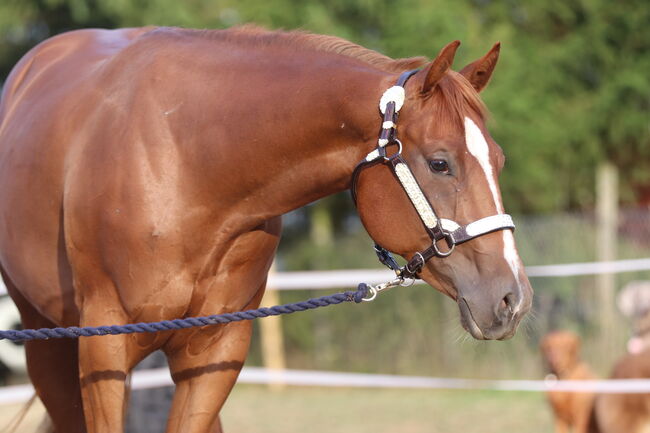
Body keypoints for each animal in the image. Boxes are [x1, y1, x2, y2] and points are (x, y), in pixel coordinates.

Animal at [0, 25, 532, 430]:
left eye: (500, 160)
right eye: (440, 163)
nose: (513, 298)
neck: (186, 163)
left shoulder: (216, 353)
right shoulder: (103, 348)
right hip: (49, 343)